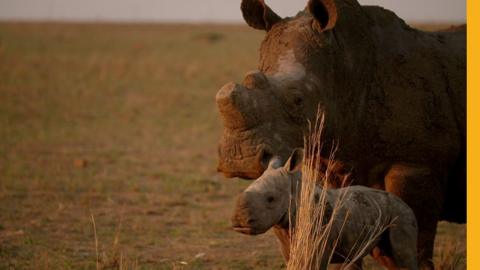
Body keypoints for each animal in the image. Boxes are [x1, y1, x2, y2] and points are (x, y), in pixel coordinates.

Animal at [232, 149, 416, 268]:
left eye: (270, 199)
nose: (238, 221)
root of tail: (400, 200)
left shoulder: (318, 241)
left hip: (402, 214)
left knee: (403, 257)